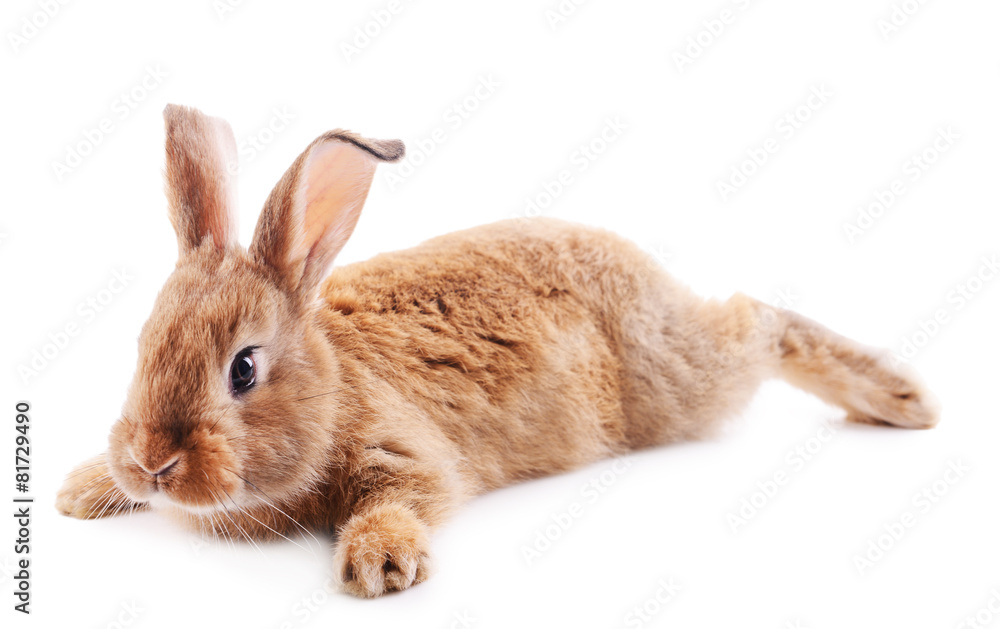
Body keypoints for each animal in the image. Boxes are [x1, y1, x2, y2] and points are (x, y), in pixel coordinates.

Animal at [56, 104, 940, 598]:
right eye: (143, 343)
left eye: (243, 368)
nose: (152, 463)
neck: (334, 381)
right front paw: (79, 491)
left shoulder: (405, 452)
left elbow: (401, 499)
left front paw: (380, 565)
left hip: (681, 379)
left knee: (758, 318)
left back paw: (904, 398)